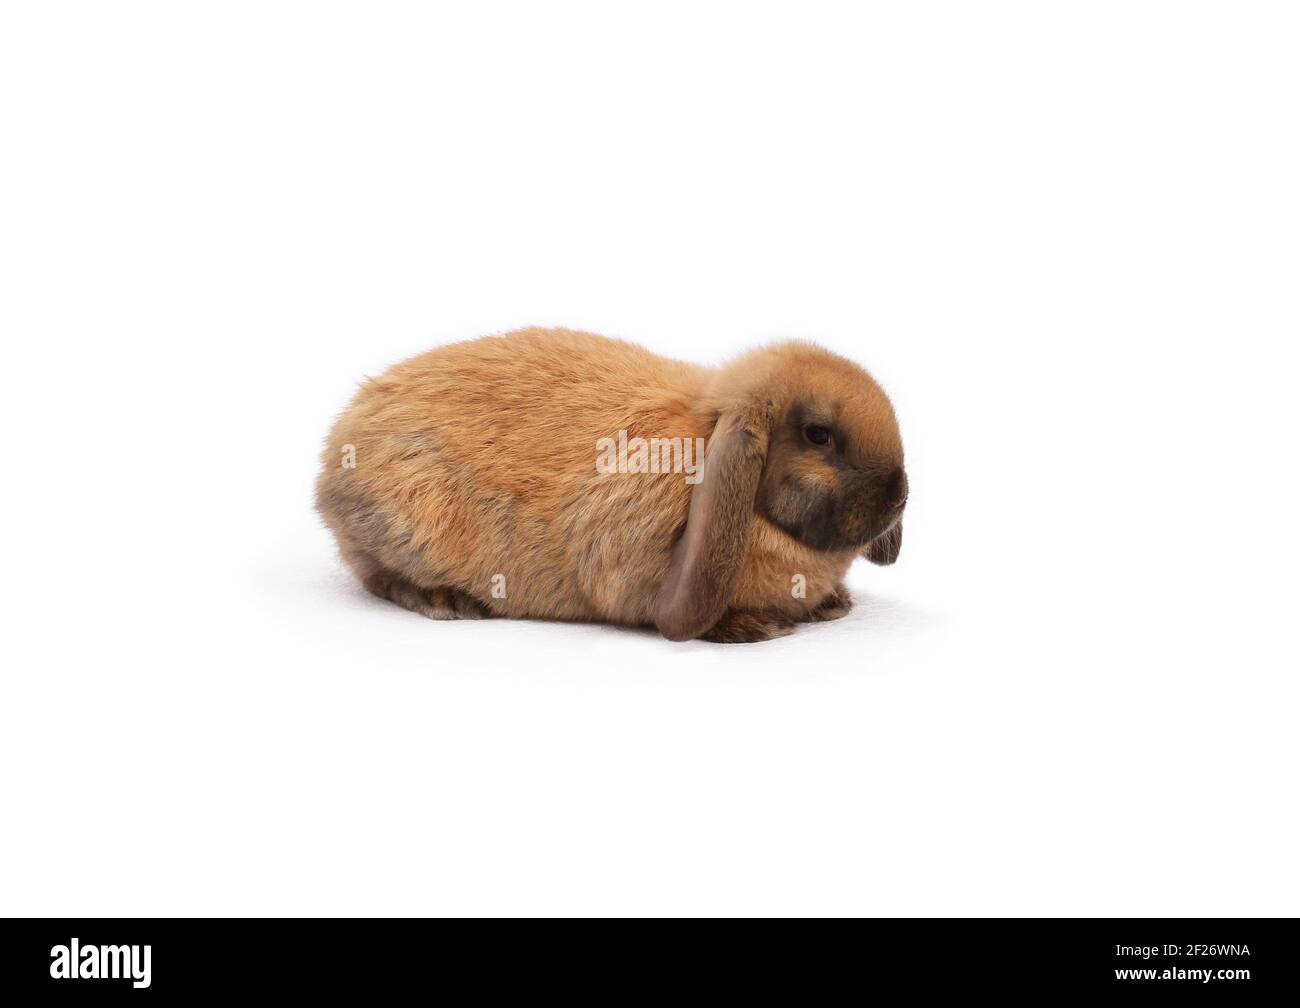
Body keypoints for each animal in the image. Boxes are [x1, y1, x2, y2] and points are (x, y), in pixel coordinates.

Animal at [316, 327, 906, 643]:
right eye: (818, 435)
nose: (899, 495)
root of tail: (334, 454)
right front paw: (754, 627)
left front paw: (833, 606)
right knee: (377, 576)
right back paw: (447, 600)